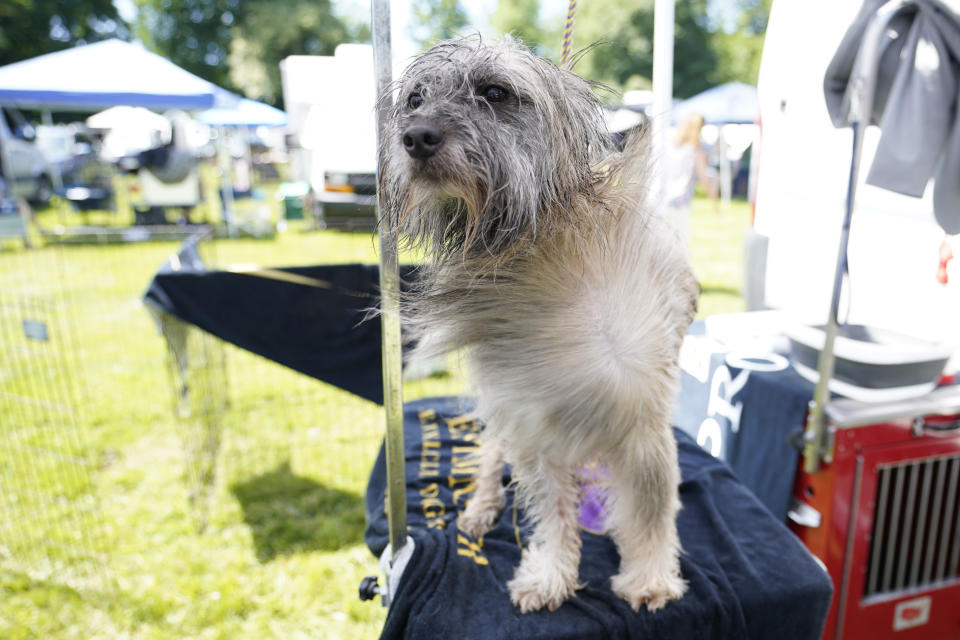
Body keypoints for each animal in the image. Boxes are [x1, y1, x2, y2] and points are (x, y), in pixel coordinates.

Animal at [378, 36, 700, 616]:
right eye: (415, 98)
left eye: (495, 92)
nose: (414, 137)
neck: (542, 248)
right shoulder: (533, 426)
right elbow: (553, 514)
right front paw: (551, 574)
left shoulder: (643, 426)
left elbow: (650, 512)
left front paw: (649, 576)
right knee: (489, 455)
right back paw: (481, 507)